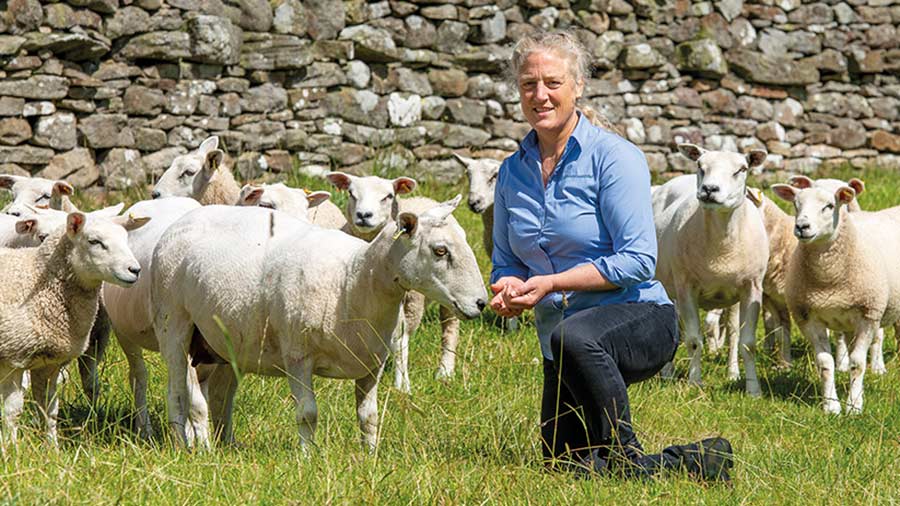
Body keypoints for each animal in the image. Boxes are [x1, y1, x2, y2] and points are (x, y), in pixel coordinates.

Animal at [0, 211, 146, 444]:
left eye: (126, 239)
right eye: (94, 241)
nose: (135, 270)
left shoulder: (48, 364)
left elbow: (49, 410)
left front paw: (52, 448)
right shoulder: (12, 359)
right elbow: (13, 412)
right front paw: (11, 448)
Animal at [149, 196, 486, 448]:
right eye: (440, 251)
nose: (481, 303)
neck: (353, 281)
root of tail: (186, 218)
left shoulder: (372, 363)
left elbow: (369, 416)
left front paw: (370, 456)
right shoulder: (298, 356)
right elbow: (308, 413)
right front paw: (306, 458)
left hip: (226, 341)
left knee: (219, 394)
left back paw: (225, 446)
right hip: (173, 324)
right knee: (177, 391)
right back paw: (185, 446)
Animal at [324, 172, 468, 394]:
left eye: (388, 196)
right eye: (351, 193)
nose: (364, 215)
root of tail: (426, 199)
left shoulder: (411, 304)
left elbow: (401, 341)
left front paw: (402, 386)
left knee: (450, 328)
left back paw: (445, 371)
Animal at [652, 143, 768, 396]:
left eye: (741, 169)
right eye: (700, 166)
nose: (709, 189)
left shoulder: (752, 288)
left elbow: (746, 342)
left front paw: (753, 390)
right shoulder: (686, 287)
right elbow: (694, 340)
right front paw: (695, 383)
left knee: (733, 333)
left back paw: (733, 373)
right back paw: (667, 373)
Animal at [768, 184, 900, 414]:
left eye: (829, 206)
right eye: (796, 204)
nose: (802, 226)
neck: (828, 281)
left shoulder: (868, 315)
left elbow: (858, 363)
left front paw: (854, 406)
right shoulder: (808, 318)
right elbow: (824, 363)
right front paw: (831, 406)